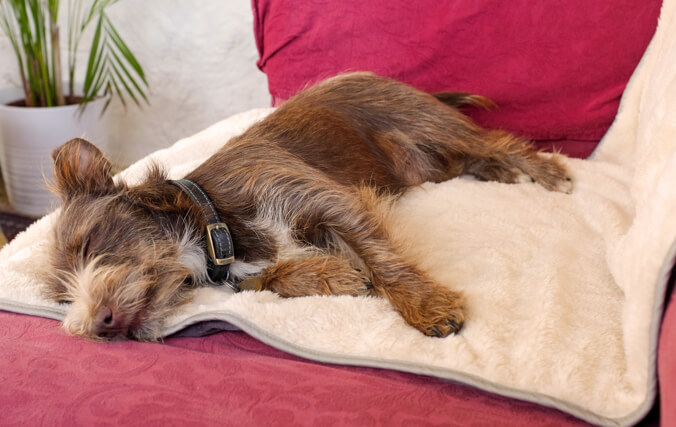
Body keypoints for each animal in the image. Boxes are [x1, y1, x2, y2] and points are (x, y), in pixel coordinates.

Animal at [41, 72, 572, 342]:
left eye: (91, 243)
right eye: (64, 300)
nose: (98, 326)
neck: (211, 224)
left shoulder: (329, 201)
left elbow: (383, 259)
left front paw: (424, 305)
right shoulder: (248, 270)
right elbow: (274, 278)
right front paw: (331, 275)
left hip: (429, 123)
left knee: (499, 141)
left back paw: (545, 172)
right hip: (427, 167)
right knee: (475, 159)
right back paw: (502, 173)